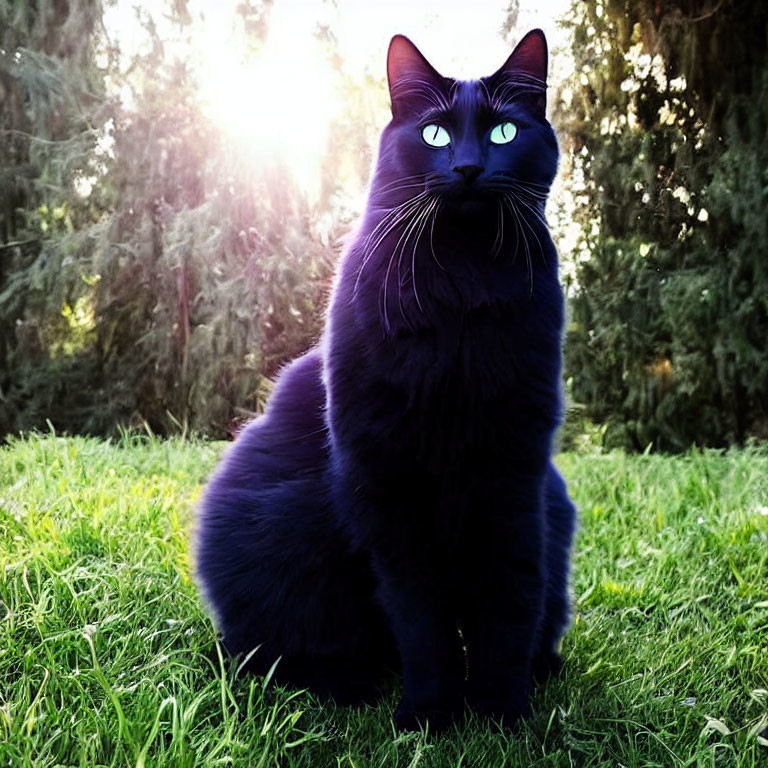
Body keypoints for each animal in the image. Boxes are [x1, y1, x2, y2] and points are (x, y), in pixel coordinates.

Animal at [196, 31, 576, 732]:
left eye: (505, 131)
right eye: (434, 134)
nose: (468, 167)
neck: (463, 287)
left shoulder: (514, 472)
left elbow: (510, 600)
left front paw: (502, 714)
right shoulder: (390, 482)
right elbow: (421, 620)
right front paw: (430, 714)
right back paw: (345, 684)